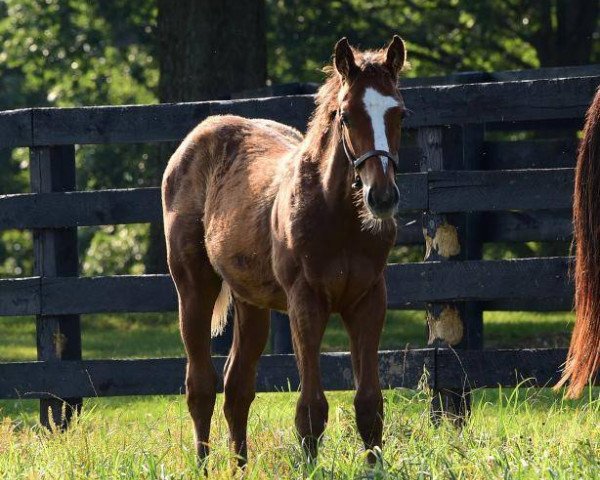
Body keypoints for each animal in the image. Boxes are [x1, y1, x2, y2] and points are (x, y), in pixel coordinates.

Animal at [162, 34, 408, 464]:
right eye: (346, 116)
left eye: (400, 115)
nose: (382, 197)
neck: (338, 216)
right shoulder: (305, 301)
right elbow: (310, 409)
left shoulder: (369, 300)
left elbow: (369, 404)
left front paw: (375, 466)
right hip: (193, 287)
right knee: (201, 386)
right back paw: (204, 466)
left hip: (251, 300)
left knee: (238, 387)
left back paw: (240, 468)